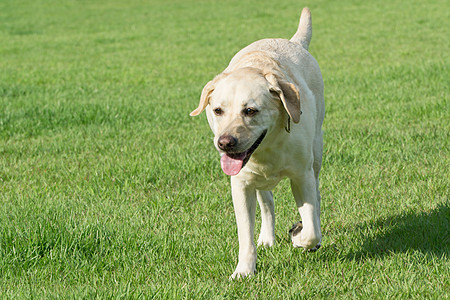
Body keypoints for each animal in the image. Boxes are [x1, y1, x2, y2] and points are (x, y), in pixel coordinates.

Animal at [190, 7, 324, 278]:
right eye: (218, 110)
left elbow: (310, 227)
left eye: (250, 110)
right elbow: (245, 236)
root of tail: (293, 42)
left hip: (317, 152)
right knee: (267, 203)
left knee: (316, 195)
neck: (268, 147)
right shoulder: (241, 185)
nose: (225, 143)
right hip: (258, 182)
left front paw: (299, 235)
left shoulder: (301, 176)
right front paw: (244, 271)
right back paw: (267, 238)